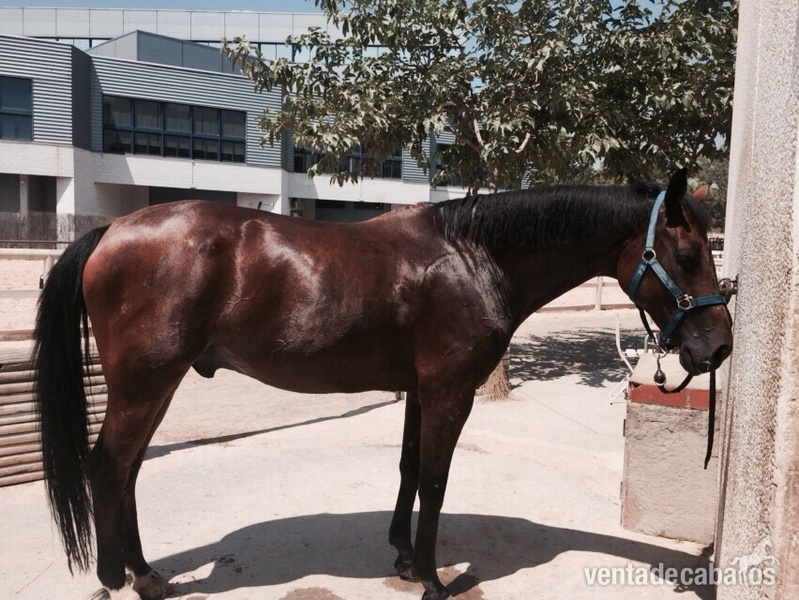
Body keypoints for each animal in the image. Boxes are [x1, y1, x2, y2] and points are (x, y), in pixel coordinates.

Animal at [32, 168, 732, 600]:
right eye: (687, 255)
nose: (718, 346)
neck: (474, 256)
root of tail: (110, 230)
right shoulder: (450, 391)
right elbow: (436, 479)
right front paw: (431, 578)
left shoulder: (420, 389)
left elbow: (408, 468)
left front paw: (400, 554)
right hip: (146, 383)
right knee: (108, 466)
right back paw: (125, 577)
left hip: (157, 385)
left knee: (125, 471)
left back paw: (140, 573)